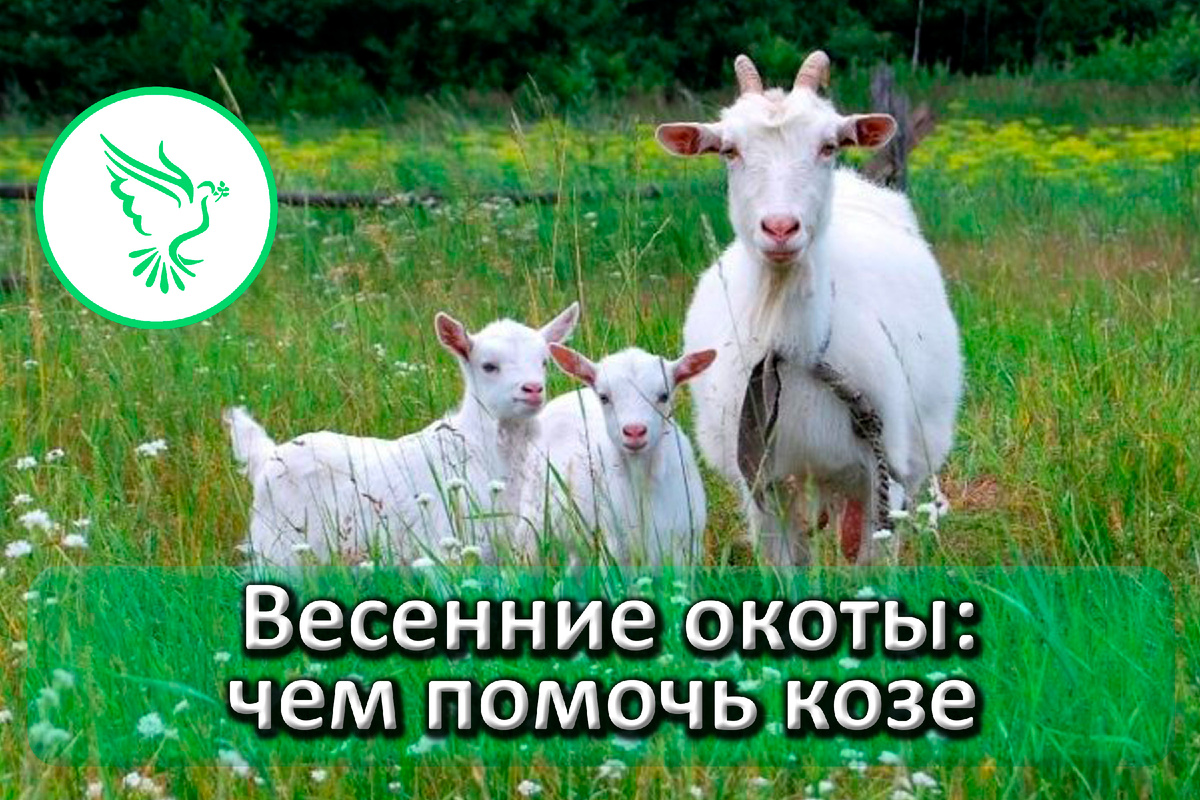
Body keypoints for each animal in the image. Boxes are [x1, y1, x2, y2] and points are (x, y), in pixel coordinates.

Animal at [225, 303, 580, 566]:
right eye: (488, 366)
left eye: (544, 362)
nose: (533, 389)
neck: (482, 450)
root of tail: (267, 455)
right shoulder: (447, 544)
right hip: (279, 548)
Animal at [519, 345, 715, 566]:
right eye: (604, 397)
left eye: (664, 396)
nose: (634, 431)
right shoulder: (615, 548)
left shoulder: (687, 545)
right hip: (532, 520)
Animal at [655, 51, 962, 565]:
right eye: (729, 150)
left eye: (828, 145)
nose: (780, 228)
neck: (789, 345)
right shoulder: (763, 480)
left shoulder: (882, 467)